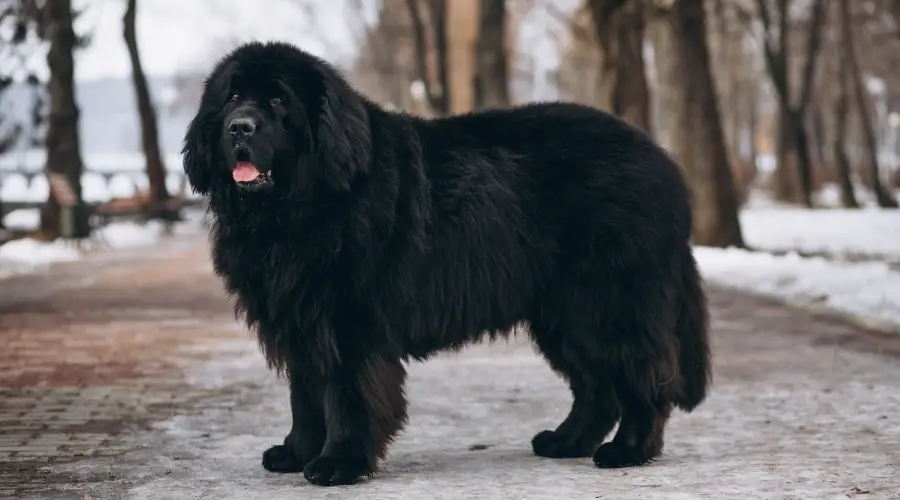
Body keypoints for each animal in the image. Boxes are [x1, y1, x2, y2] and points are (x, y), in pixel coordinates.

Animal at [185, 41, 712, 486]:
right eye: (233, 97)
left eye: (278, 101)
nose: (240, 127)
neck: (296, 209)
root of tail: (661, 160)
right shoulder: (300, 319)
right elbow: (306, 396)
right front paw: (296, 453)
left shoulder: (348, 320)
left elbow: (346, 394)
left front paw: (339, 462)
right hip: (561, 314)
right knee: (597, 387)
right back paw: (565, 441)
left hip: (607, 303)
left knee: (643, 376)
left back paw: (629, 449)